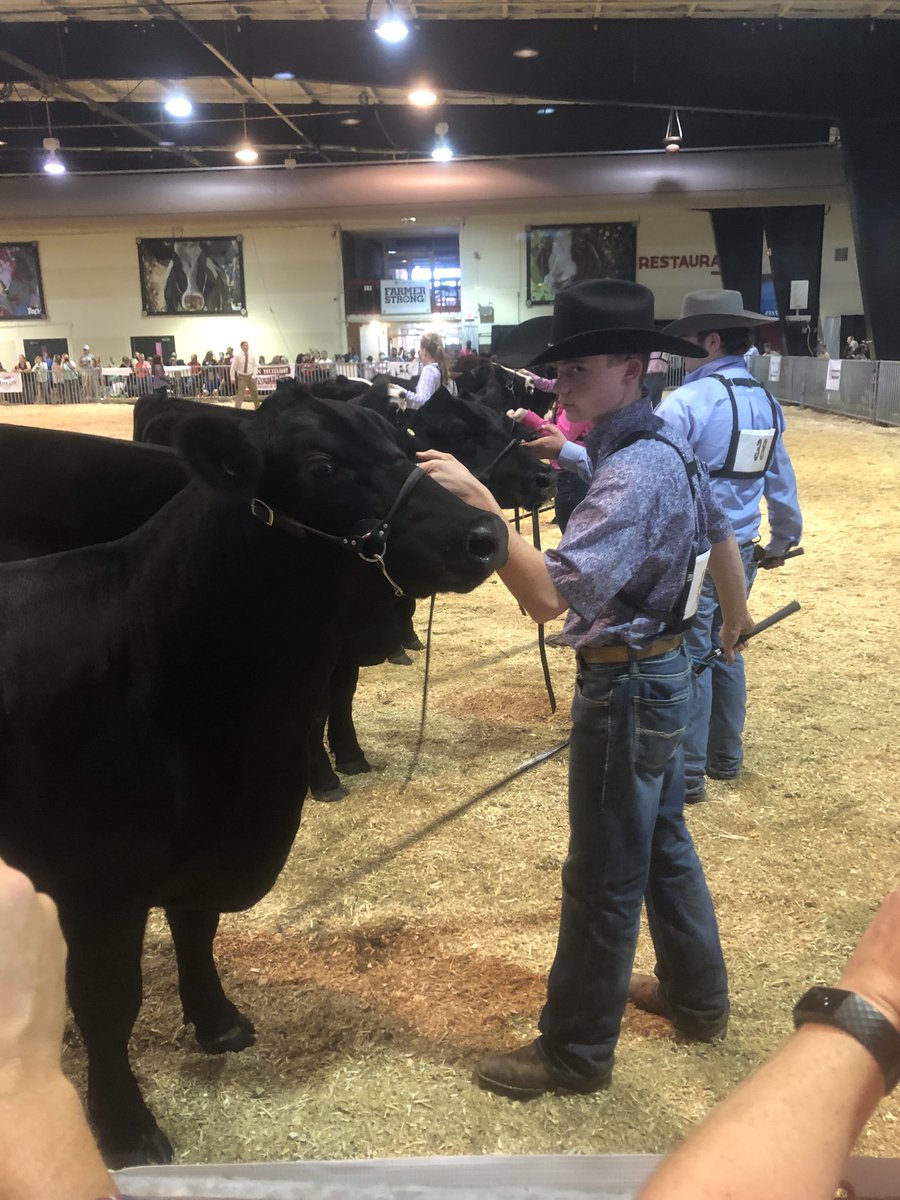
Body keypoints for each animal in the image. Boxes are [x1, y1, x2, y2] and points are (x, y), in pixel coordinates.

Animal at [0, 397, 507, 1167]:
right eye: (321, 467)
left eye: (403, 443)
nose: (486, 535)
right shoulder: (95, 884)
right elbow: (108, 1004)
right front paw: (126, 1129)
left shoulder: (208, 850)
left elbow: (196, 931)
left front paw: (218, 1022)